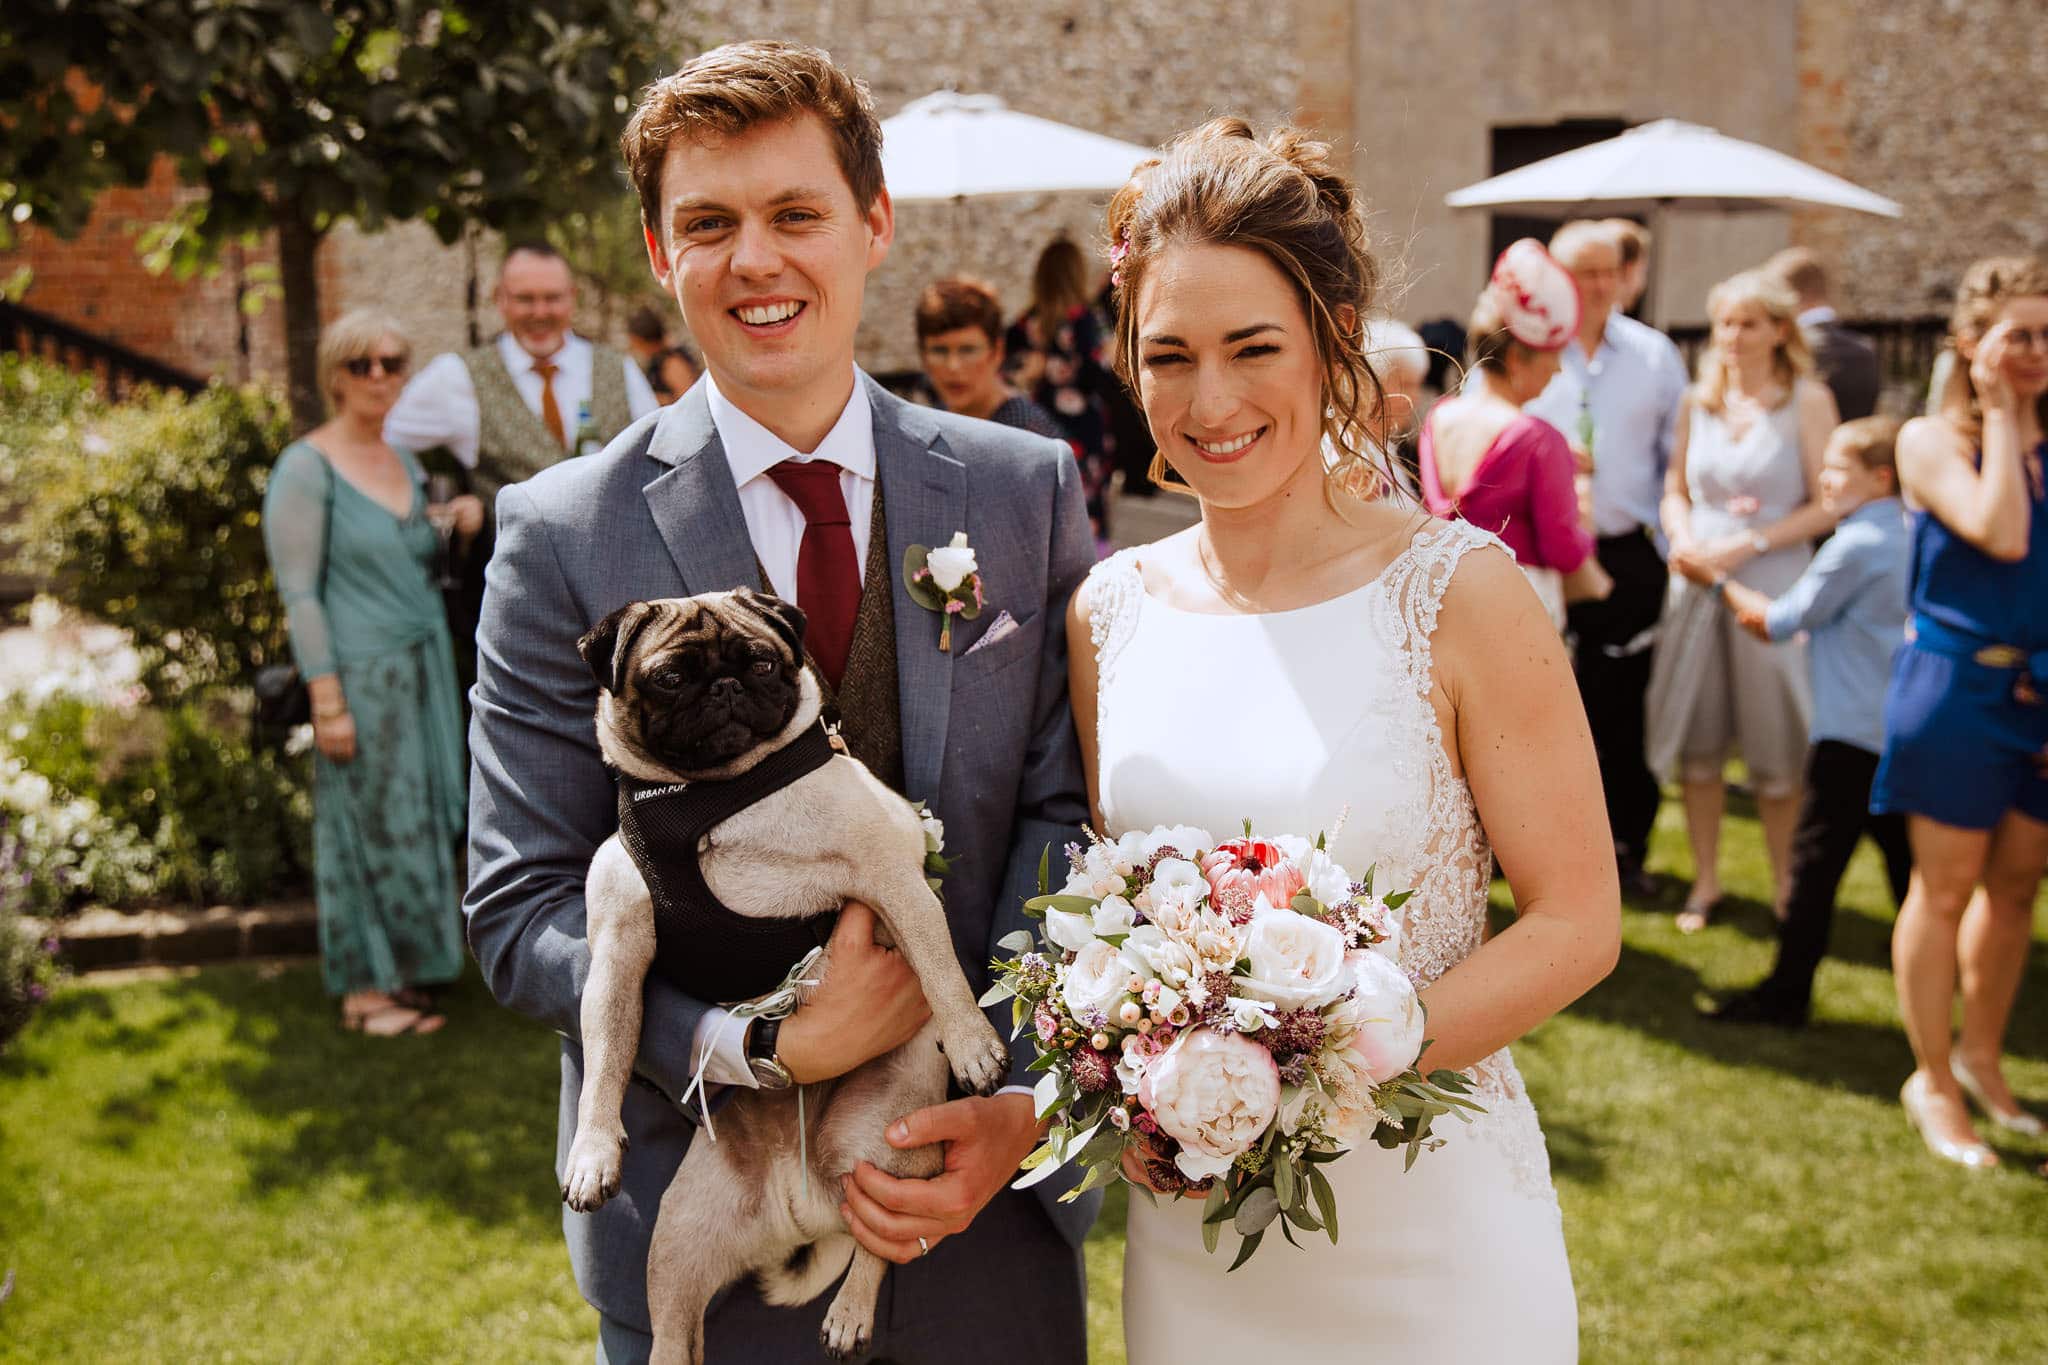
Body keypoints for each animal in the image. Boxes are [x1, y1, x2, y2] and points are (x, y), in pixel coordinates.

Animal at [557, 589, 1011, 1365]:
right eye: (670, 677)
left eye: (762, 661)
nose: (726, 686)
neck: (721, 800)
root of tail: (801, 1211)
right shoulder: (617, 950)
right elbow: (607, 1061)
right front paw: (592, 1152)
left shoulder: (892, 876)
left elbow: (940, 966)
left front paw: (973, 1043)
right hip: (677, 1239)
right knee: (674, 1332)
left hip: (879, 1146)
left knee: (880, 1239)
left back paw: (852, 1310)